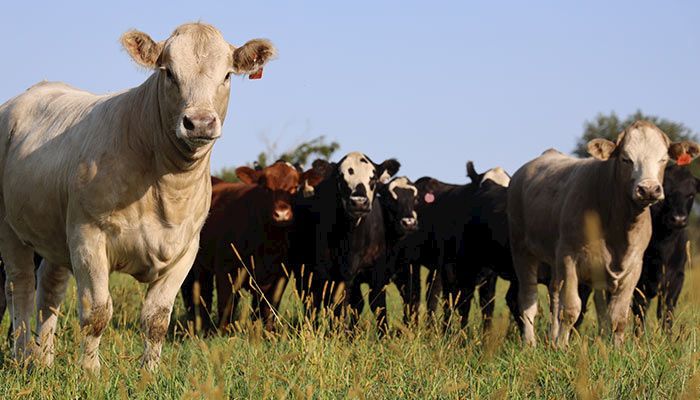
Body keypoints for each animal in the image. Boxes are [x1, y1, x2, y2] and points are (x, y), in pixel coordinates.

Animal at [0, 22, 276, 372]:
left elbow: (157, 319)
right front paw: (89, 372)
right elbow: (97, 312)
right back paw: (23, 357)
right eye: (168, 73)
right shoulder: (88, 235)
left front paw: (150, 372)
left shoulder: (186, 248)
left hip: (55, 234)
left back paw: (44, 359)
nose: (199, 122)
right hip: (10, 227)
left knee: (49, 290)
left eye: (227, 75)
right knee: (20, 286)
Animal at [180, 161, 322, 332]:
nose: (281, 214)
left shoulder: (279, 276)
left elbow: (268, 309)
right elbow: (226, 307)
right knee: (198, 295)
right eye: (266, 188)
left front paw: (267, 332)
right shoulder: (225, 272)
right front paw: (223, 334)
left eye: (295, 188)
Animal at [508, 119, 700, 346]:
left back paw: (552, 339)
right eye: (626, 159)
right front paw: (563, 347)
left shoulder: (634, 267)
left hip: (555, 258)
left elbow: (618, 316)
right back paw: (530, 344)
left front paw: (617, 349)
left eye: (663, 159)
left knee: (555, 295)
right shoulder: (569, 258)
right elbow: (571, 309)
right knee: (529, 300)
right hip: (522, 250)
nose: (648, 189)